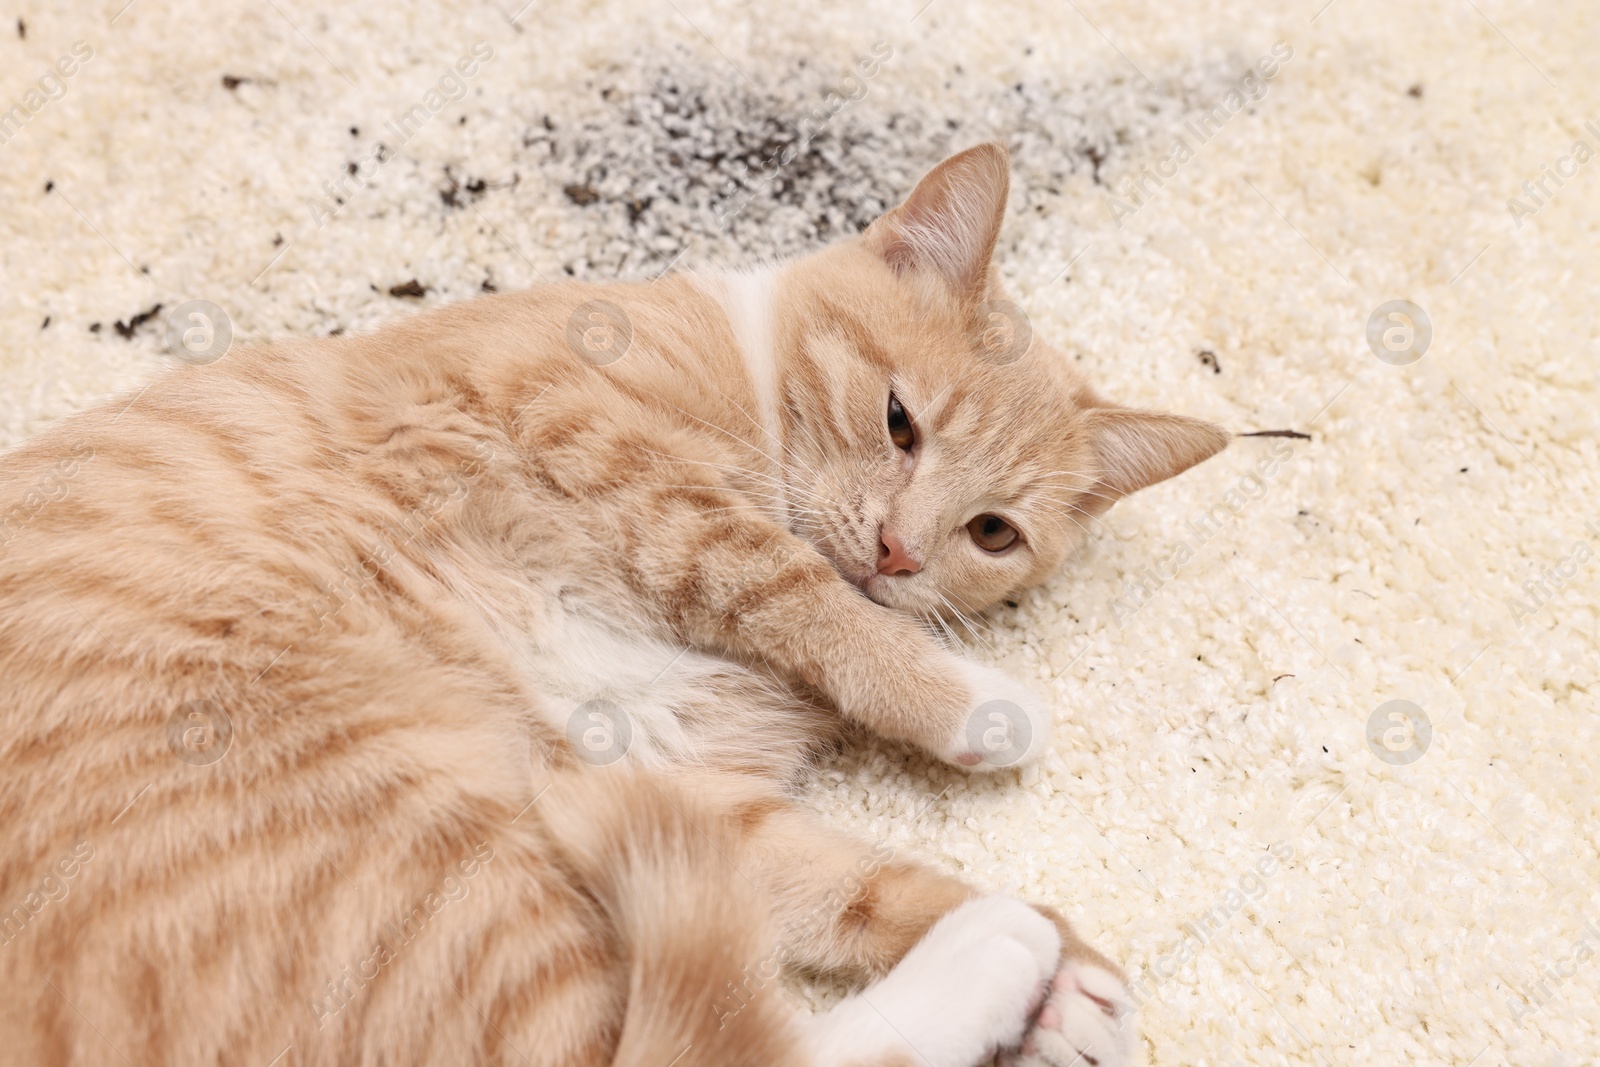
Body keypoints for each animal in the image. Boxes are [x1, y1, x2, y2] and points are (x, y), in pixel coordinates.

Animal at [0, 143, 1222, 1067]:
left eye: (992, 532)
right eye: (897, 421)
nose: (898, 550)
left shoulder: (670, 786)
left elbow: (851, 883)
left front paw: (1066, 976)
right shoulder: (588, 434)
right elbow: (787, 581)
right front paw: (969, 706)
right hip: (408, 840)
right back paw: (991, 955)